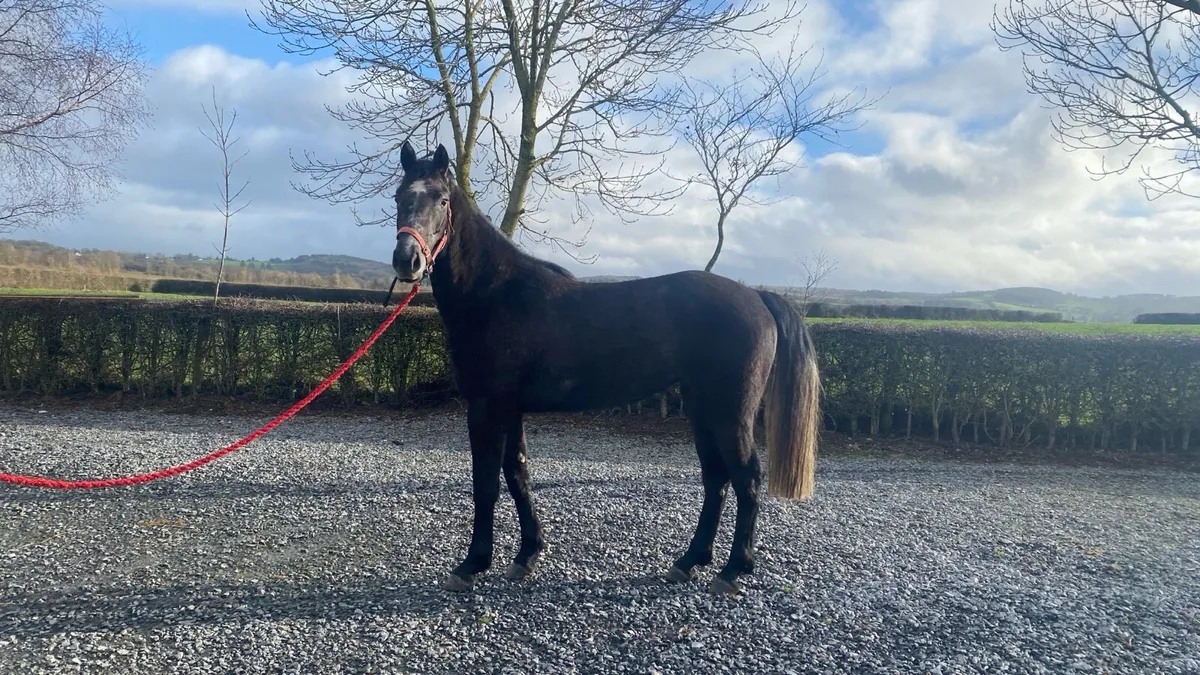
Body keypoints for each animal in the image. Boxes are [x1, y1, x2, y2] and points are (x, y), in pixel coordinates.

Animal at [390, 141, 821, 596]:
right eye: (399, 197)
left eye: (441, 199)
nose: (407, 260)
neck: (496, 294)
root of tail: (756, 296)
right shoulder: (510, 408)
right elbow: (517, 474)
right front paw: (527, 555)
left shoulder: (486, 407)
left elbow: (486, 483)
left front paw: (473, 563)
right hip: (702, 408)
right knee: (716, 478)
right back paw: (689, 561)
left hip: (730, 412)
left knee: (747, 479)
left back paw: (734, 568)